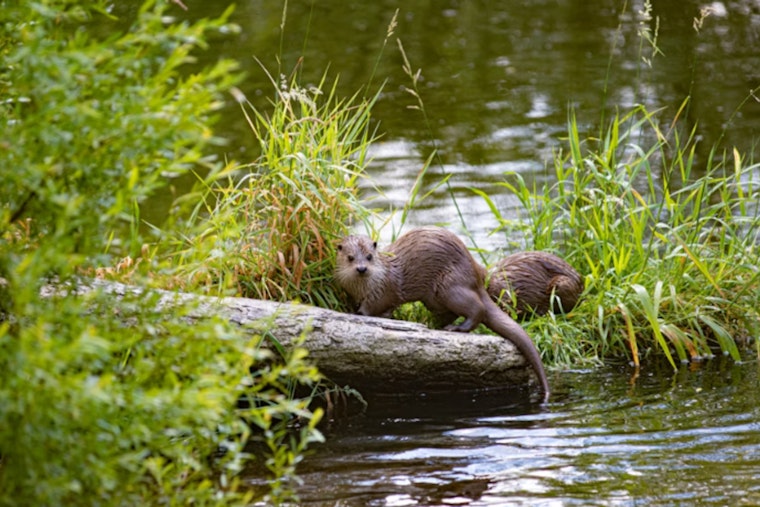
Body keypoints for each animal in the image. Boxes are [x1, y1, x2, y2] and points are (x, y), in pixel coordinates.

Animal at [335, 226, 549, 398]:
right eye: (350, 257)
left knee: (477, 308)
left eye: (369, 257)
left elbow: (375, 306)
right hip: (434, 299)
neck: (363, 287)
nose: (362, 268)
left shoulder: (383, 290)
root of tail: (475, 274)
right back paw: (435, 325)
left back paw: (456, 328)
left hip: (449, 286)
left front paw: (358, 313)